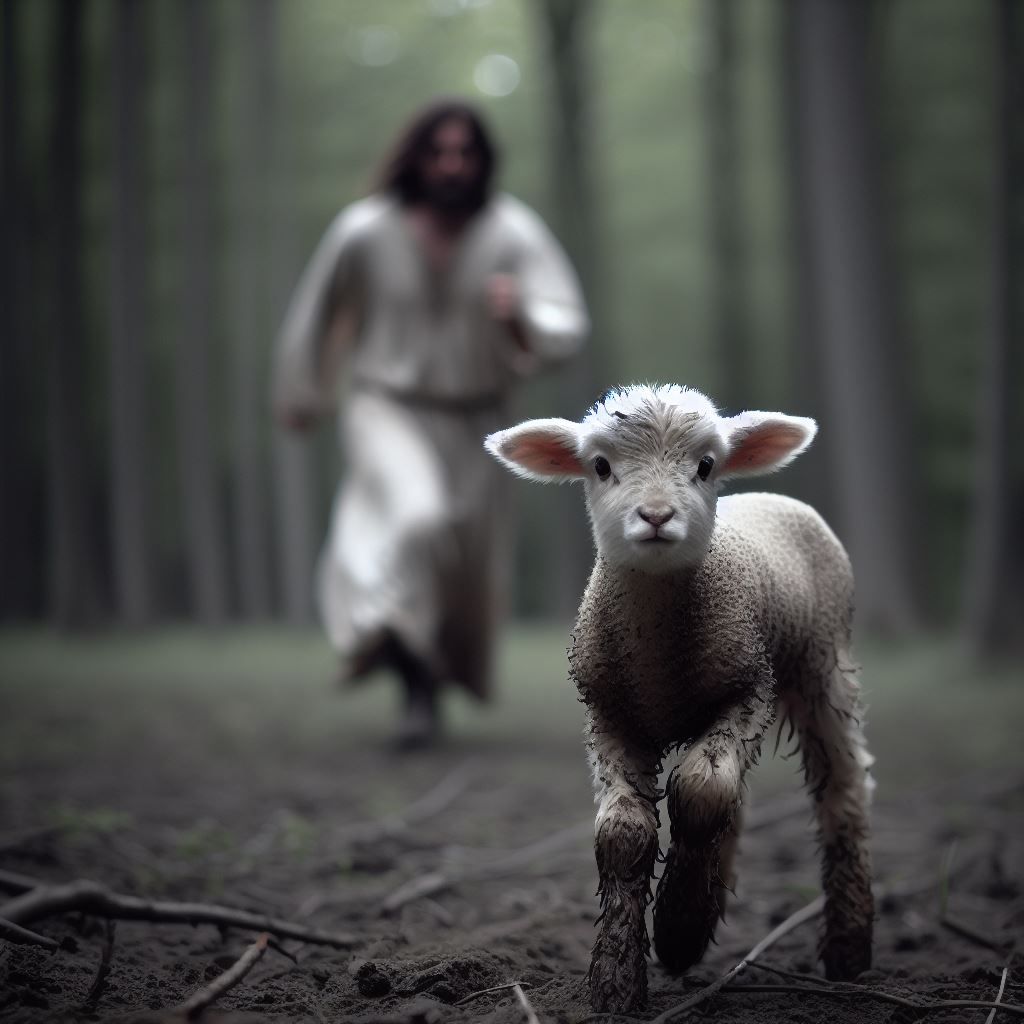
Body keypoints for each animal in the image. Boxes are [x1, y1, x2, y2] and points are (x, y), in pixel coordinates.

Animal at [484, 383, 874, 1014]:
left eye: (707, 465)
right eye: (600, 466)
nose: (656, 516)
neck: (659, 669)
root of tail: (766, 494)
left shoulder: (747, 690)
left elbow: (702, 792)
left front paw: (677, 922)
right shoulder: (608, 713)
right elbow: (625, 833)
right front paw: (617, 980)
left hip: (823, 663)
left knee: (842, 789)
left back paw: (849, 948)